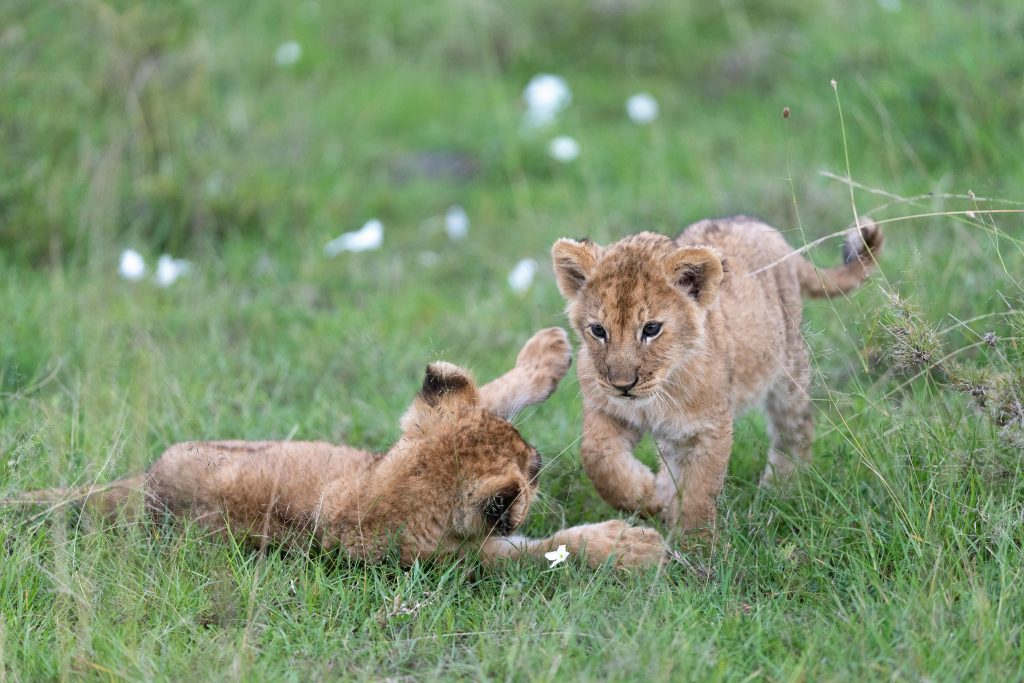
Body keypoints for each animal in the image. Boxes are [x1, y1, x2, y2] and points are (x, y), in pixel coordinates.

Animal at [9, 328, 665, 569]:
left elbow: (490, 396)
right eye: (533, 468)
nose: (538, 464)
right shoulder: (471, 559)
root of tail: (140, 487)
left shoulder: (406, 431)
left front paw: (545, 354)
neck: (402, 482)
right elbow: (552, 550)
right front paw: (630, 546)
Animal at [551, 216, 883, 531]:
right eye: (598, 330)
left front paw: (693, 545)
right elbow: (597, 458)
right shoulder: (605, 408)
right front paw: (648, 496)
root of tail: (766, 230)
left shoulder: (708, 430)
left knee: (795, 428)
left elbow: (699, 496)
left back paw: (782, 488)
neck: (659, 392)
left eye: (651, 329)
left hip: (789, 369)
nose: (622, 385)